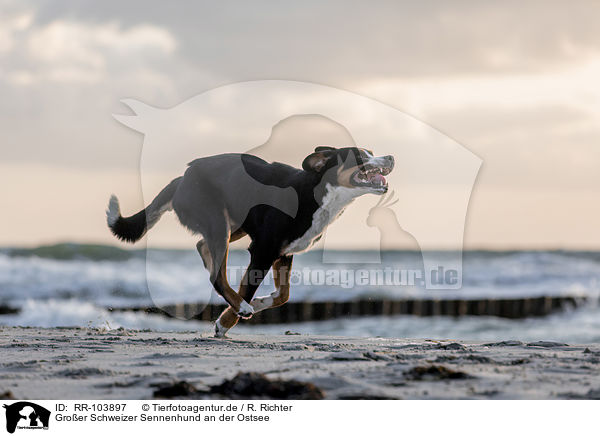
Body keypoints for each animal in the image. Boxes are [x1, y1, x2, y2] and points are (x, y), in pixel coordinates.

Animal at [105, 146, 396, 338]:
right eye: (361, 155)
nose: (392, 157)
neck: (317, 192)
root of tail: (182, 178)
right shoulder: (263, 251)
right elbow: (248, 288)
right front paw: (227, 320)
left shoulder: (283, 254)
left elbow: (283, 296)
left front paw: (259, 304)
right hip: (218, 222)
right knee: (217, 276)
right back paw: (240, 307)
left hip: (235, 224)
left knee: (203, 248)